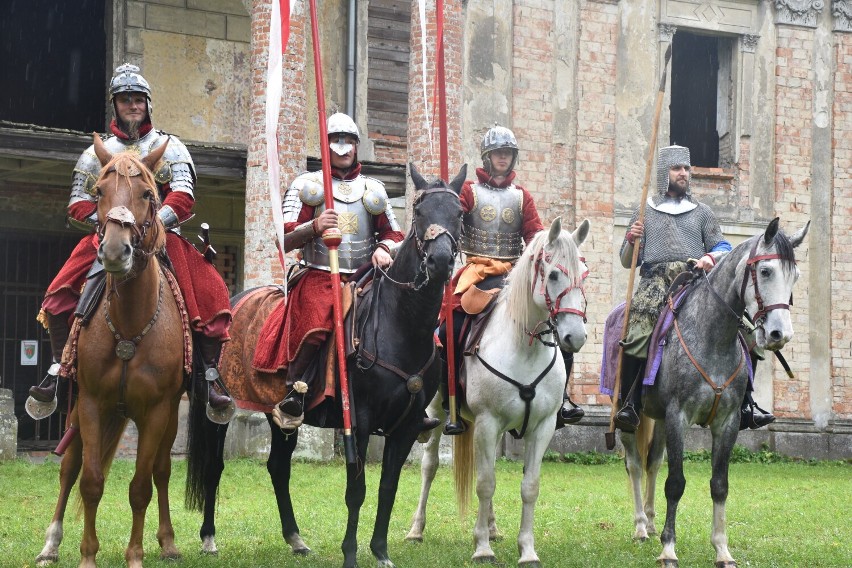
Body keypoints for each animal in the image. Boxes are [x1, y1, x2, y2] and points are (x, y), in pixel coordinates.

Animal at [36, 134, 186, 568]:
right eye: (99, 191)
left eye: (148, 194)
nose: (116, 252)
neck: (131, 324)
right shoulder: (91, 403)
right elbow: (90, 480)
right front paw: (87, 555)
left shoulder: (157, 411)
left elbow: (140, 487)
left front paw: (135, 555)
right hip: (78, 408)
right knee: (69, 467)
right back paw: (51, 543)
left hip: (170, 415)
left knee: (161, 471)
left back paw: (168, 541)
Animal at [186, 162, 462, 564]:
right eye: (421, 212)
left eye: (459, 213)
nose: (439, 262)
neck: (399, 325)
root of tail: (233, 300)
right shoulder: (359, 421)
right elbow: (357, 491)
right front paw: (350, 554)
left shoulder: (407, 427)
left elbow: (388, 488)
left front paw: (380, 552)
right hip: (220, 407)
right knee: (214, 465)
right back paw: (208, 537)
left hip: (280, 415)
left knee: (278, 466)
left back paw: (295, 538)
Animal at [410, 216, 588, 564]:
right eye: (554, 274)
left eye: (583, 274)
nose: (575, 336)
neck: (525, 348)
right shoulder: (487, 421)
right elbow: (484, 483)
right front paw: (481, 548)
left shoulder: (542, 426)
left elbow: (529, 486)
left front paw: (527, 550)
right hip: (437, 411)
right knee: (430, 466)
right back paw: (416, 529)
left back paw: (492, 527)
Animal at [624, 219, 808, 568]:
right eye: (765, 271)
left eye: (795, 276)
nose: (779, 334)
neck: (713, 336)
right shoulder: (678, 417)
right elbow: (676, 483)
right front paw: (669, 549)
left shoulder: (728, 422)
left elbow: (719, 485)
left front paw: (722, 549)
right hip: (629, 417)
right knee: (635, 465)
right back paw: (640, 526)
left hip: (658, 420)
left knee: (652, 463)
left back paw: (651, 523)